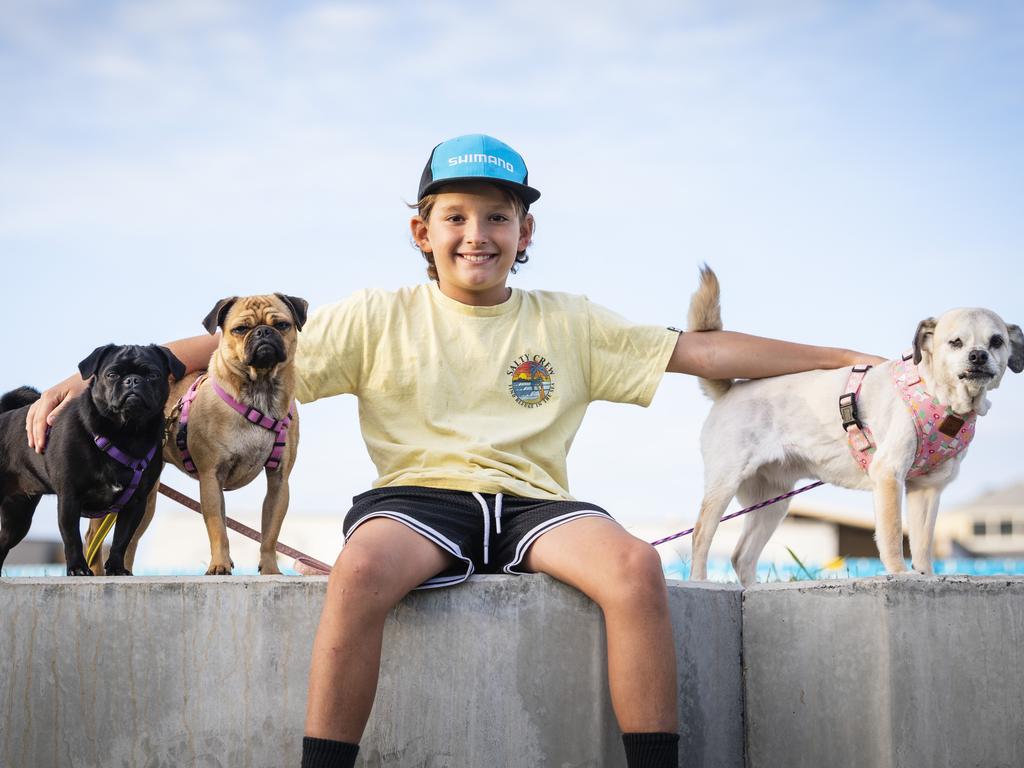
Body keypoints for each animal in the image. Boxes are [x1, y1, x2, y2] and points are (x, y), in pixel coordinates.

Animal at [684, 268, 1019, 585]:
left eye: (996, 341)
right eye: (956, 343)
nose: (978, 356)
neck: (938, 395)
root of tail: (729, 390)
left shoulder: (927, 488)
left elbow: (922, 543)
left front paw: (927, 576)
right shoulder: (889, 474)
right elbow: (893, 535)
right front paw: (900, 573)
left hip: (773, 502)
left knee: (742, 556)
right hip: (724, 485)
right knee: (701, 534)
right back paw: (700, 580)